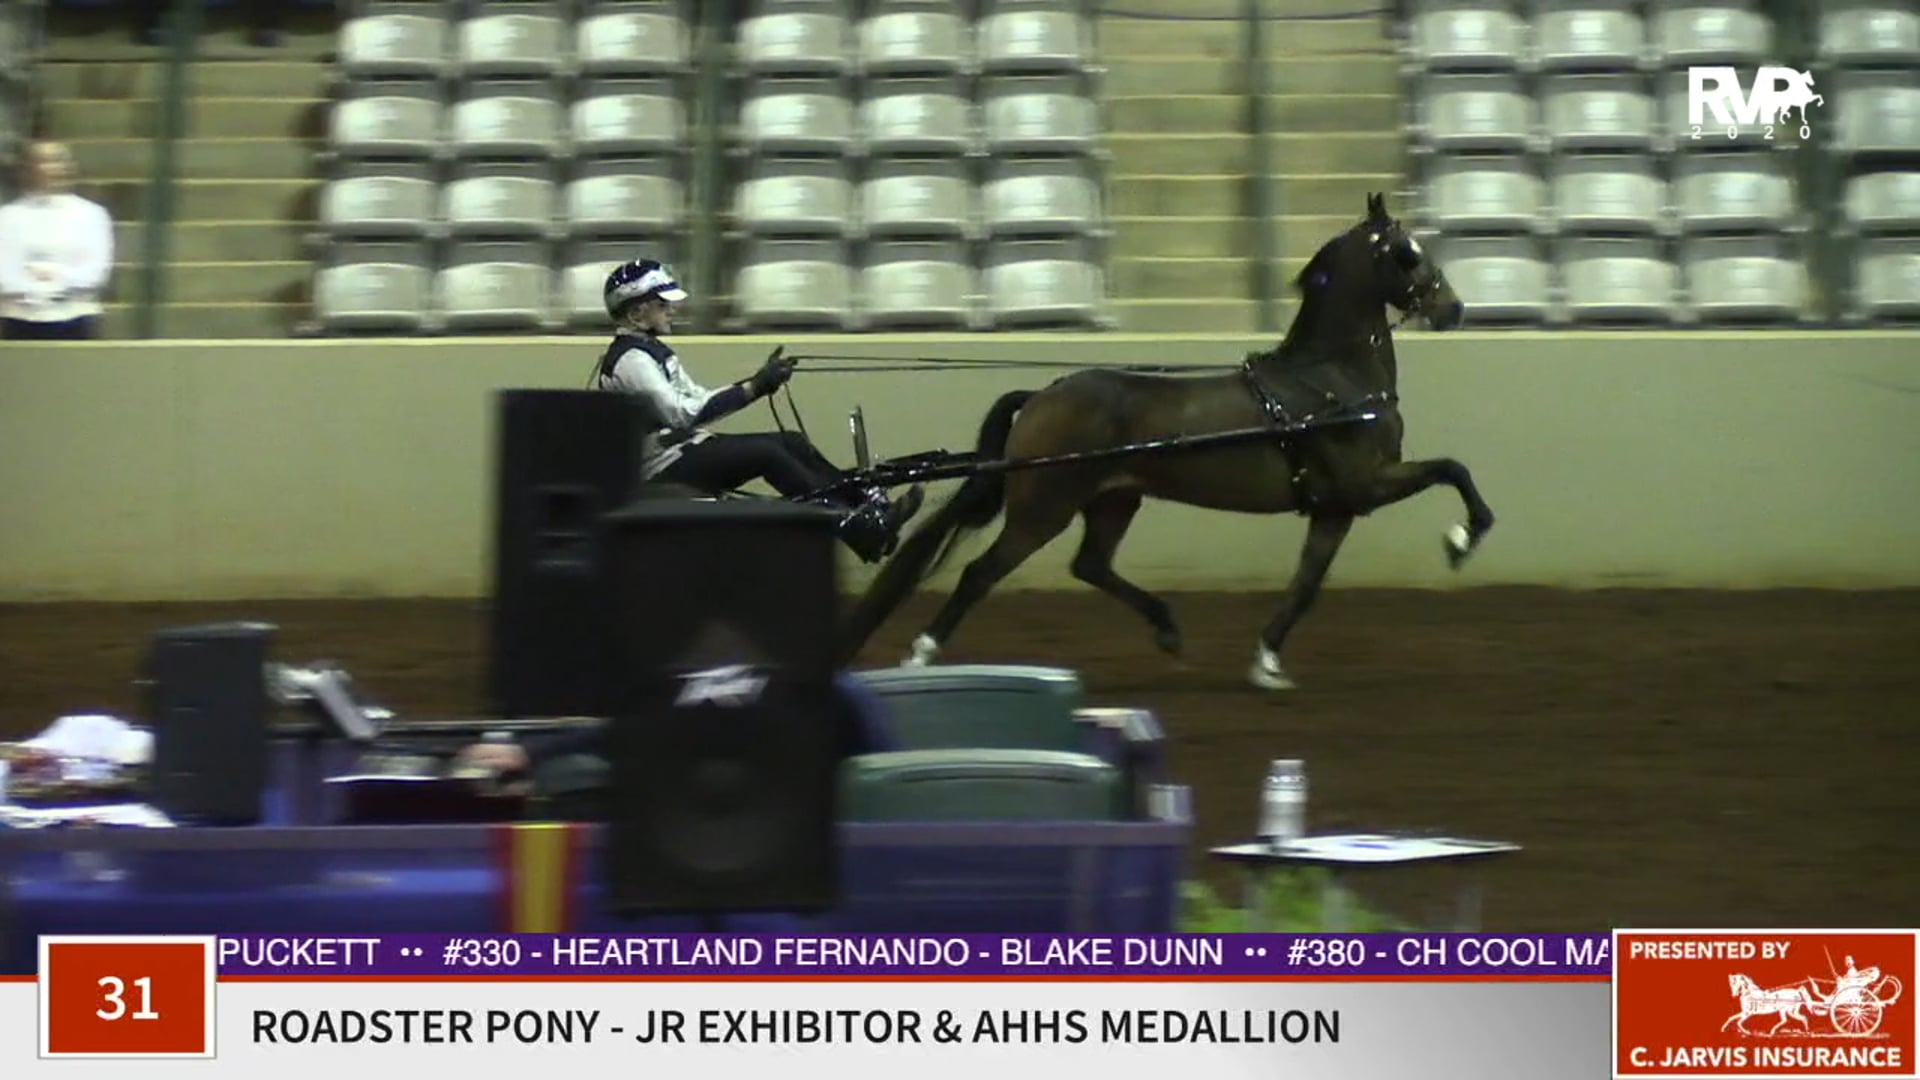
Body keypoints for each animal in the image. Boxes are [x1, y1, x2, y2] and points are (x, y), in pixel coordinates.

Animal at [836, 192, 1497, 691]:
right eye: (1408, 253)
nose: (1455, 309)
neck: (1331, 379)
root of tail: (1044, 394)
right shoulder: (1366, 484)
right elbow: (1454, 469)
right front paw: (1462, 539)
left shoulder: (1334, 508)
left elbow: (1307, 585)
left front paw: (1267, 661)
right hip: (1044, 506)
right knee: (982, 573)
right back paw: (922, 653)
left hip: (1114, 498)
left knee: (1090, 564)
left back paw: (1167, 626)